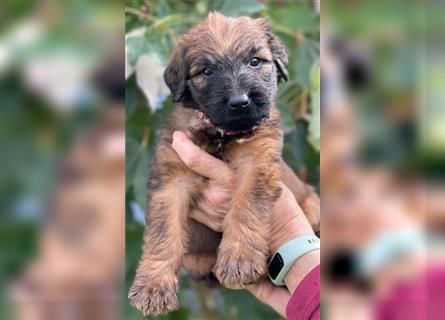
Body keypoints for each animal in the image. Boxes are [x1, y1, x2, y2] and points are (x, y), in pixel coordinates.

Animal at [128, 11, 320, 316]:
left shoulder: (258, 163)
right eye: (207, 71)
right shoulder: (171, 178)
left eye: (255, 61)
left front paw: (239, 260)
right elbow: (163, 232)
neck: (219, 134)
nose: (240, 102)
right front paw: (153, 286)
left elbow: (246, 207)